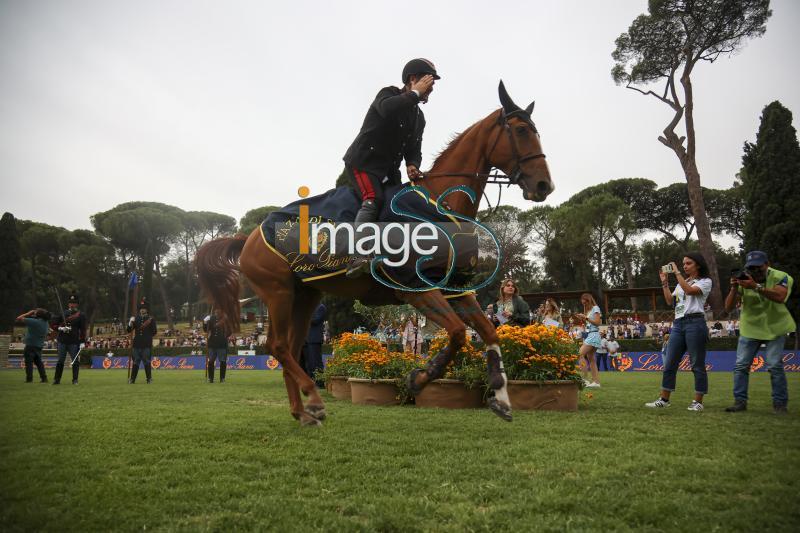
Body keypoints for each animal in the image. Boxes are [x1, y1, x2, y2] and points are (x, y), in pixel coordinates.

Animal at [197, 81, 552, 426]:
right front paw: (420, 377)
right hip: (278, 293)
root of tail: (251, 236)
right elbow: (456, 334)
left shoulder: (456, 289)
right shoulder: (414, 287)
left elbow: (489, 332)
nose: (544, 185)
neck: (437, 205)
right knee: (278, 346)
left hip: (305, 296)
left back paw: (303, 411)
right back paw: (313, 397)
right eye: (522, 130)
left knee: (290, 347)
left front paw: (501, 397)